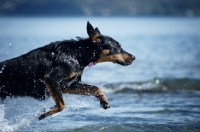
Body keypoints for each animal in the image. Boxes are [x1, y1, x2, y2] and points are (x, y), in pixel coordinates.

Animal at [0, 21, 135, 119]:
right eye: (118, 47)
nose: (134, 57)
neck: (79, 53)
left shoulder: (67, 85)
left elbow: (95, 88)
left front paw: (104, 101)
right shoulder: (51, 78)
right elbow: (62, 105)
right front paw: (44, 113)